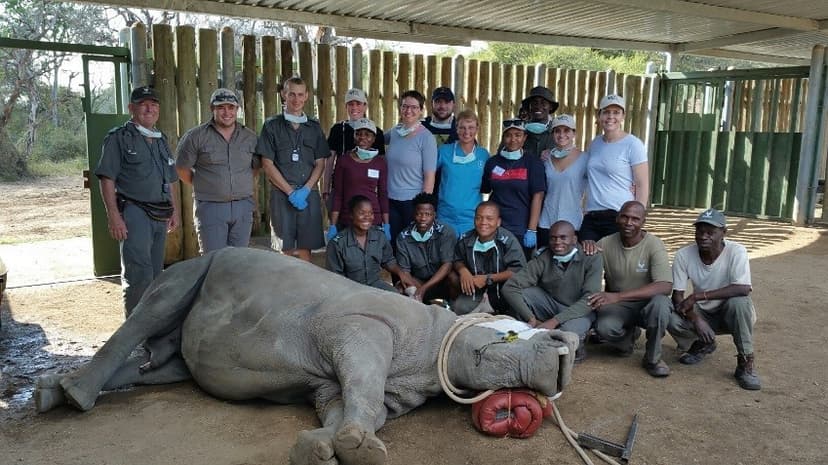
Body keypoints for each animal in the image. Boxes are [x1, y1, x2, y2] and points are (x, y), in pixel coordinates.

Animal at [34, 248, 576, 462]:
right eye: (508, 339)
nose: (566, 349)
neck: (438, 341)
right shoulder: (361, 329)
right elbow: (363, 388)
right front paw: (355, 448)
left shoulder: (350, 382)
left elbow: (355, 403)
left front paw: (325, 447)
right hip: (202, 263)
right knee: (159, 303)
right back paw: (73, 398)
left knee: (166, 366)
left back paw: (51, 396)